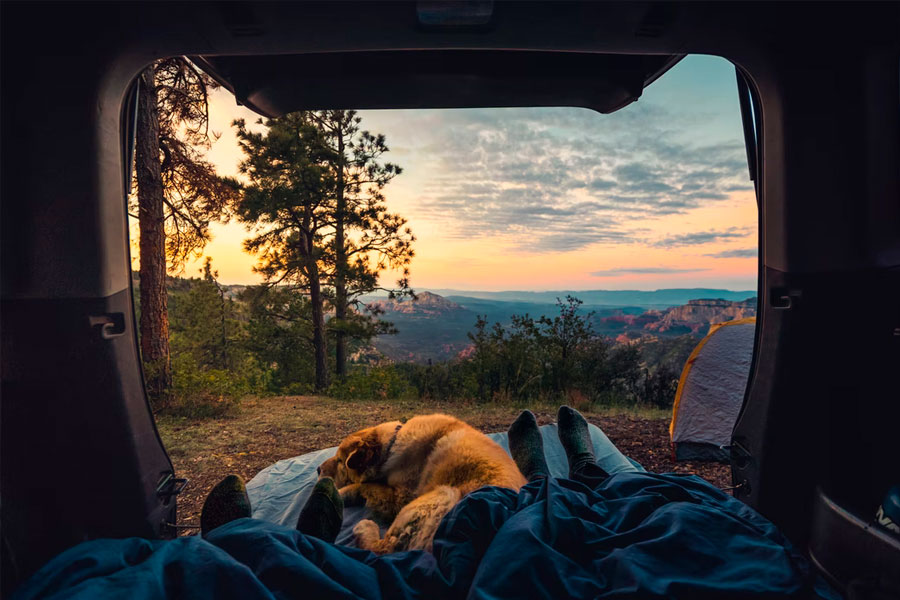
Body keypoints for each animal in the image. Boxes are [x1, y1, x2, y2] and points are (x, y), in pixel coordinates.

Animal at [318, 412, 524, 552]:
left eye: (340, 461)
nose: (318, 469)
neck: (392, 444)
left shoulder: (400, 498)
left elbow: (364, 485)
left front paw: (340, 493)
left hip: (441, 494)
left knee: (384, 549)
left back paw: (365, 528)